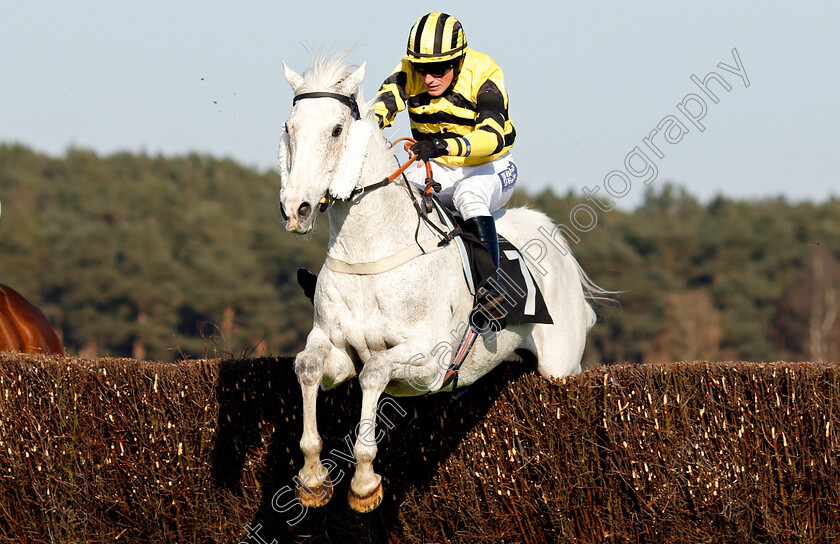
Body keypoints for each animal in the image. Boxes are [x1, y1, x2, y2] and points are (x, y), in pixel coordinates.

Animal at [282, 53, 604, 512]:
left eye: (337, 130)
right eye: (289, 128)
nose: (296, 209)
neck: (369, 254)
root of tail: (554, 239)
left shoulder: (429, 361)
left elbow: (374, 372)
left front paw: (364, 482)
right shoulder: (336, 352)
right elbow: (308, 367)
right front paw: (311, 477)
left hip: (562, 365)